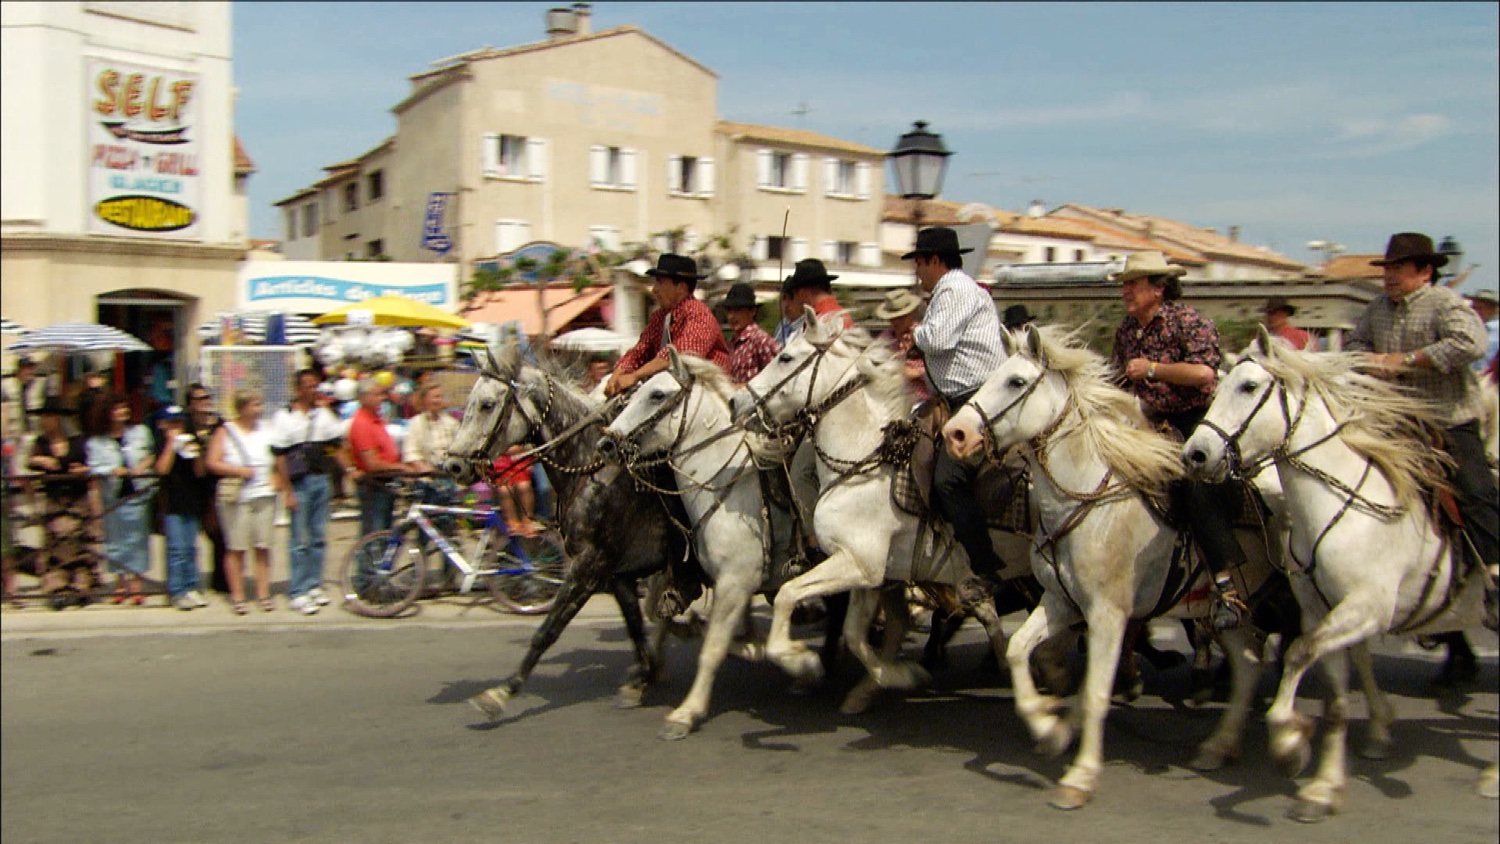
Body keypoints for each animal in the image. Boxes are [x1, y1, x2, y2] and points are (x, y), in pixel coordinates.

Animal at [441, 343, 693, 719]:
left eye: (486, 404)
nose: (453, 465)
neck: (591, 471)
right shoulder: (617, 573)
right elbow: (634, 626)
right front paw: (641, 678)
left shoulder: (587, 567)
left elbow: (547, 631)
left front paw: (501, 692)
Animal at [732, 310, 1038, 707]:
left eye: (785, 357)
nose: (736, 401)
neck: (864, 462)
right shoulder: (867, 572)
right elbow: (855, 634)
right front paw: (894, 677)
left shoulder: (856, 561)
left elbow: (788, 595)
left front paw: (802, 662)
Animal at [942, 323, 1272, 809]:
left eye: (1016, 381)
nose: (957, 434)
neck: (1085, 502)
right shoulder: (1060, 601)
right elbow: (1020, 650)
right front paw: (1048, 727)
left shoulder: (1108, 615)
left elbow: (1097, 691)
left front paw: (1079, 777)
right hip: (1224, 615)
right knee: (1249, 666)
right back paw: (1218, 747)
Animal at [1182, 326, 1500, 815]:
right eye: (1215, 389)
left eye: (1249, 387)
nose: (1195, 454)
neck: (1341, 504)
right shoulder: (1322, 611)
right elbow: (1331, 696)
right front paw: (1323, 786)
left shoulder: (1366, 609)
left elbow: (1297, 654)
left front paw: (1289, 740)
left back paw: (1491, 775)